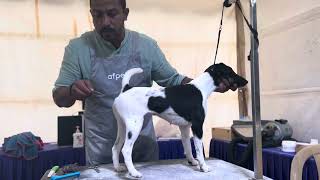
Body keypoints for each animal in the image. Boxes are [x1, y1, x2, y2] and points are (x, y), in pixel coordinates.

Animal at [111, 62, 249, 178]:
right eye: (231, 72)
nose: (246, 81)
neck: (202, 89)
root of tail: (126, 88)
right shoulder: (197, 126)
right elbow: (199, 150)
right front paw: (203, 167)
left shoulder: (185, 127)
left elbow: (187, 147)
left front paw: (192, 161)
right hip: (134, 127)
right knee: (126, 150)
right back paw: (134, 172)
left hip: (123, 126)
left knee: (116, 147)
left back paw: (118, 168)